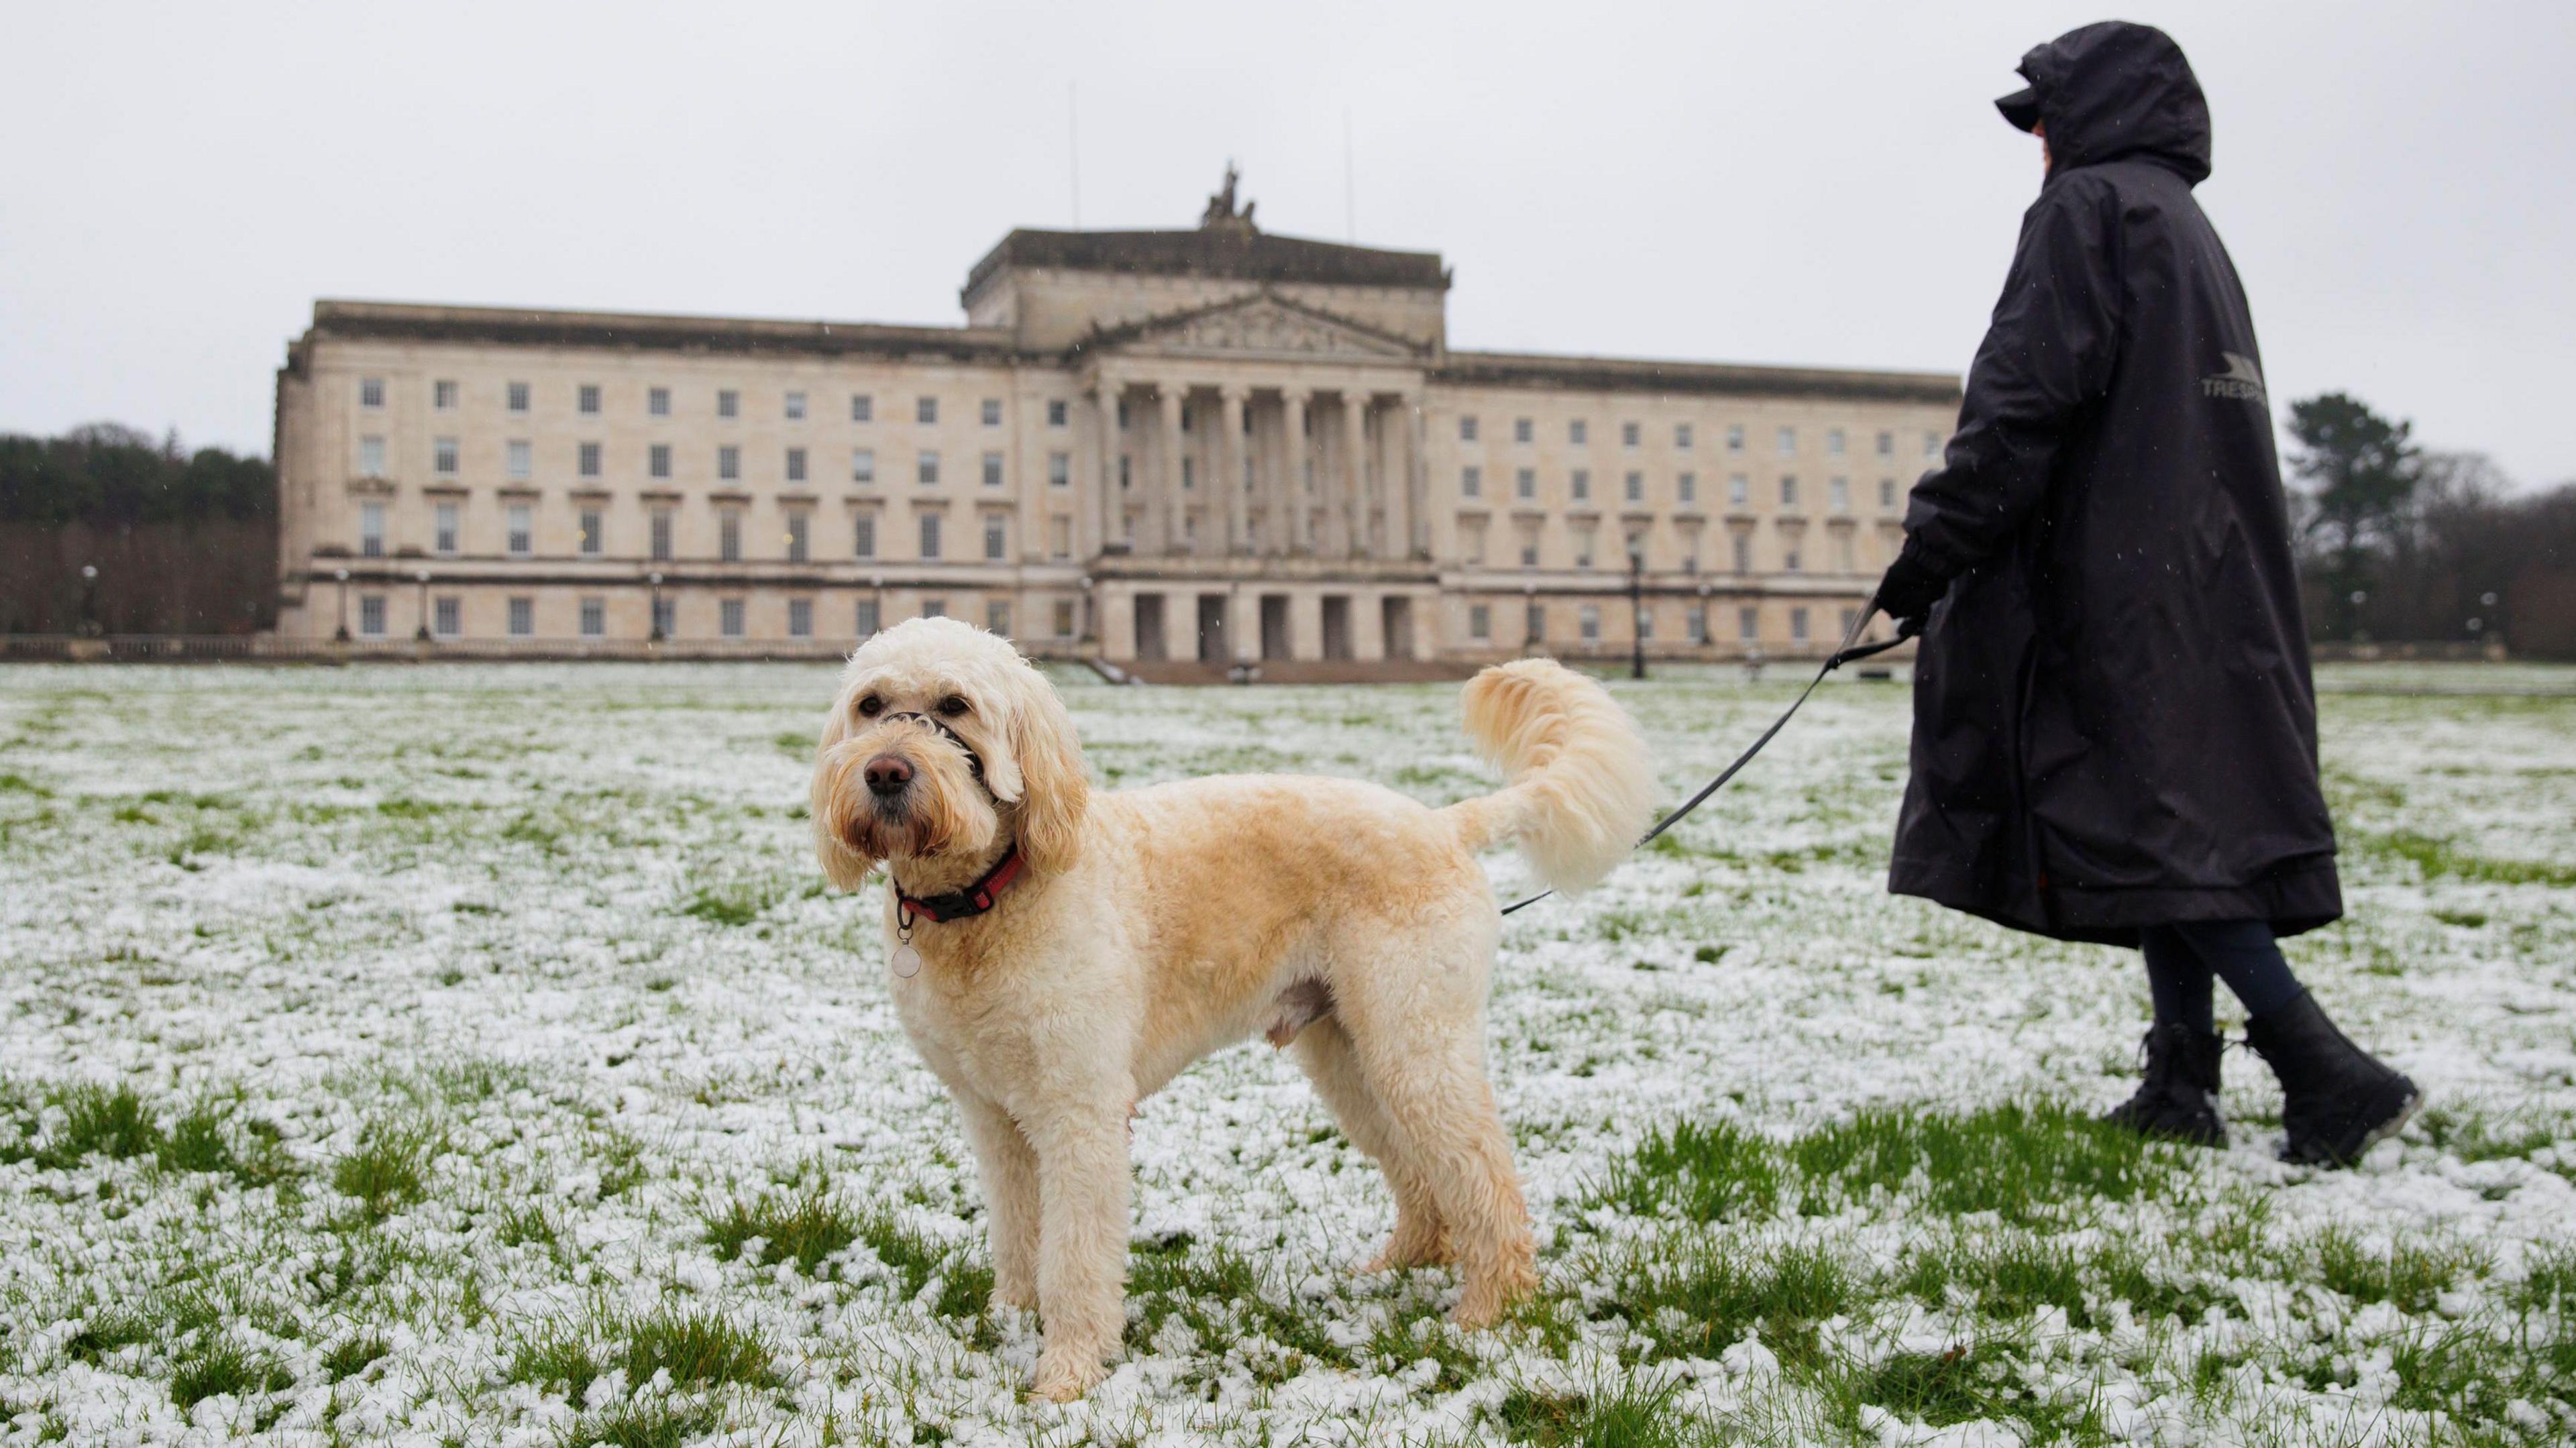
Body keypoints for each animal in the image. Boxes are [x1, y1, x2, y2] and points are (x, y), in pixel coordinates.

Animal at [804, 613, 1648, 1391]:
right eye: (871, 704)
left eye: (957, 704)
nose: (886, 772)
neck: (987, 894)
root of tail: (1444, 823)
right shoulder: (992, 1113)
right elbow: (1018, 1234)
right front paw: (1008, 1319)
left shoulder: (1080, 1111)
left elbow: (1075, 1256)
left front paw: (1067, 1374)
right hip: (1352, 1052)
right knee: (1422, 1174)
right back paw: (1398, 1265)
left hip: (1415, 1037)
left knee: (1485, 1174)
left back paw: (1489, 1309)